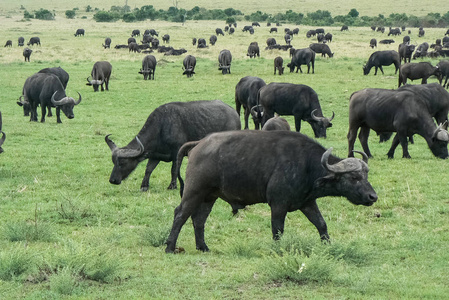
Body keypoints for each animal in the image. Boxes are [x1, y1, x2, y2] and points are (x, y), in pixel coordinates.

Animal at [104, 99, 242, 191]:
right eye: (113, 162)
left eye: (122, 163)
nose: (112, 180)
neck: (161, 126)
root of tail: (234, 113)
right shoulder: (155, 155)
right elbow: (148, 169)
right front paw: (144, 186)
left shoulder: (177, 152)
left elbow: (174, 170)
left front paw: (172, 186)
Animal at [164, 131, 374, 253]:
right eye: (354, 177)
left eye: (366, 175)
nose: (373, 196)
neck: (306, 164)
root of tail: (198, 144)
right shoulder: (278, 205)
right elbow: (277, 230)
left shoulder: (307, 202)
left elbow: (321, 224)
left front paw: (328, 246)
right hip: (194, 191)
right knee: (180, 214)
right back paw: (170, 247)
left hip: (209, 196)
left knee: (199, 219)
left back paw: (203, 247)